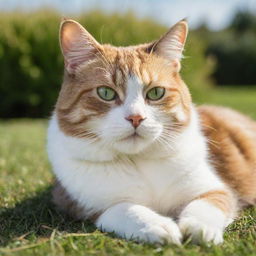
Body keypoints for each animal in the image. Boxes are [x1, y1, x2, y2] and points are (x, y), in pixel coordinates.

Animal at [46, 19, 256, 244]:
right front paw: (159, 226)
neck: (138, 161)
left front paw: (201, 229)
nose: (135, 118)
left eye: (156, 93)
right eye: (105, 93)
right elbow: (125, 209)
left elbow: (206, 205)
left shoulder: (216, 189)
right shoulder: (83, 205)